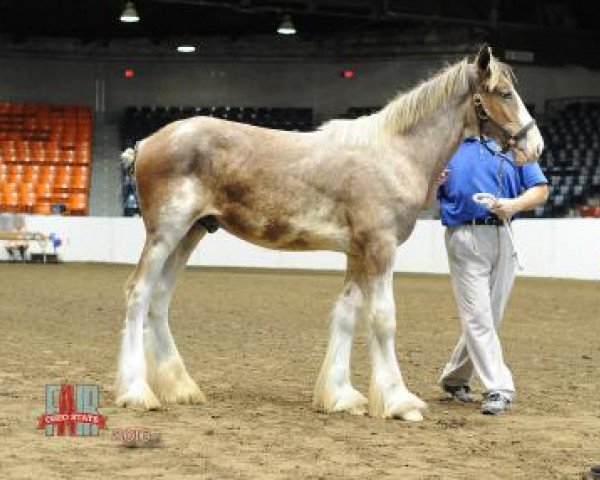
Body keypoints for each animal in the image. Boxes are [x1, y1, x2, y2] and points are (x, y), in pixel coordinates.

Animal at [116, 44, 544, 420]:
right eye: (504, 92)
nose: (536, 146)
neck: (393, 154)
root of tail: (147, 142)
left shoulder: (358, 251)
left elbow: (347, 314)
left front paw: (341, 397)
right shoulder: (380, 247)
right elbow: (383, 318)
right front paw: (398, 402)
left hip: (190, 234)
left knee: (159, 300)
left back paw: (180, 388)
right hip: (165, 234)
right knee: (138, 293)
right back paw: (137, 392)